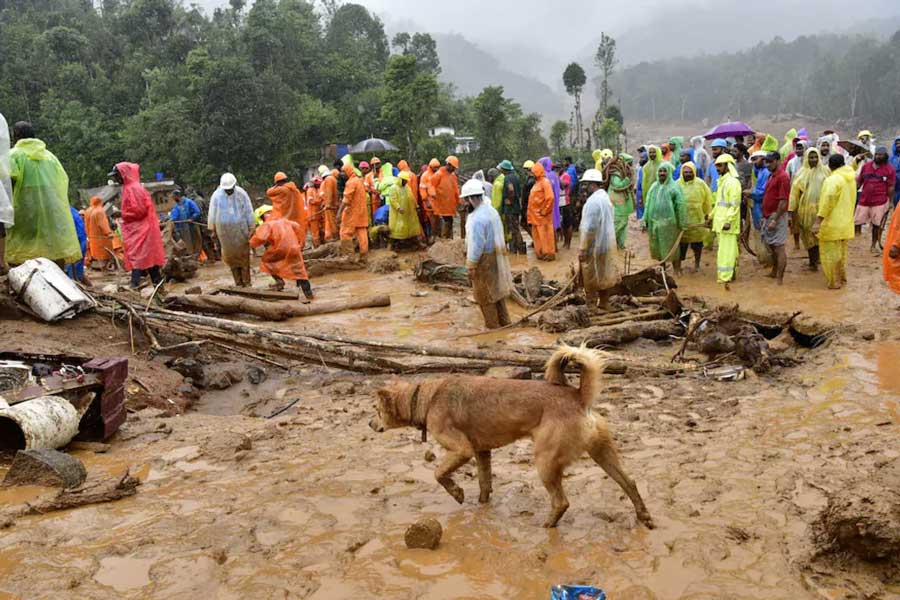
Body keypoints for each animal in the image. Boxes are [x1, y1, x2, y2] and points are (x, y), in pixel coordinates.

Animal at [368, 344, 652, 528]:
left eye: (376, 410)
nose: (370, 424)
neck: (424, 398)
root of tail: (578, 396)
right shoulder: (482, 451)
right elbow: (484, 483)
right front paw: (481, 507)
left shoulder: (462, 450)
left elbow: (439, 474)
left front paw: (457, 493)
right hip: (602, 453)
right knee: (630, 482)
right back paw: (644, 516)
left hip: (545, 461)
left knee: (561, 502)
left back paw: (547, 525)